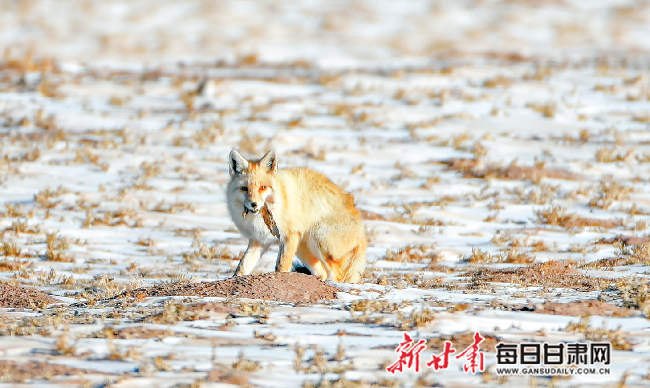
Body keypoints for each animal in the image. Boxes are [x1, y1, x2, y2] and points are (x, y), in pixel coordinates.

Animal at [225, 150, 364, 284]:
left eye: (262, 187)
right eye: (244, 188)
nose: (254, 204)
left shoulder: (289, 236)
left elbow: (281, 266)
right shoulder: (259, 239)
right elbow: (242, 266)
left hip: (318, 243)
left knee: (337, 274)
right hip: (303, 249)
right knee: (322, 272)